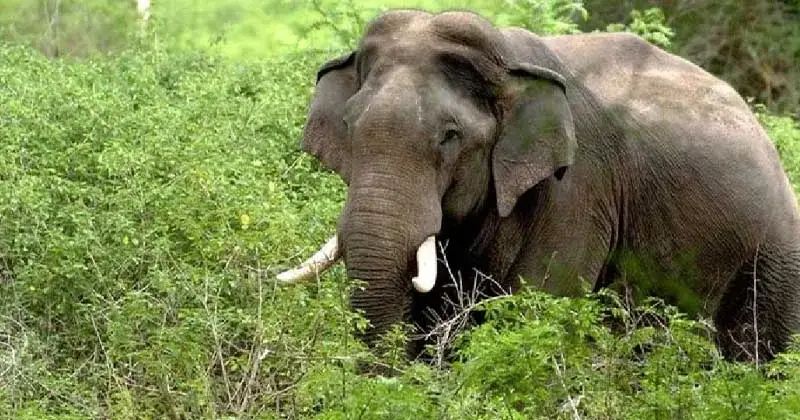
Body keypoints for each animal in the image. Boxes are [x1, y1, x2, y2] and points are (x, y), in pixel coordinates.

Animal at [278, 9, 800, 362]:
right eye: (349, 125)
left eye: (450, 136)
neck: (509, 65)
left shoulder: (578, 189)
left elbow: (536, 309)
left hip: (776, 258)